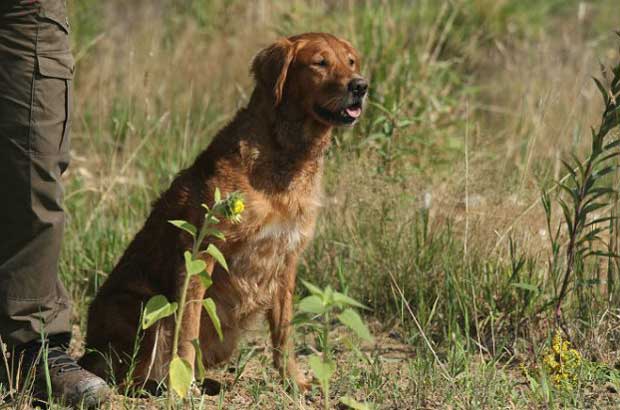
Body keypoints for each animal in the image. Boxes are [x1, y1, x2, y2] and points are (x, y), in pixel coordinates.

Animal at [79, 31, 366, 390]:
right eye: (320, 63)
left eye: (351, 61)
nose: (360, 86)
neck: (285, 154)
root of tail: (85, 352)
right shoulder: (199, 254)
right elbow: (186, 332)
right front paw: (183, 389)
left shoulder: (287, 258)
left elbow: (283, 332)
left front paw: (293, 380)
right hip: (145, 307)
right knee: (130, 372)